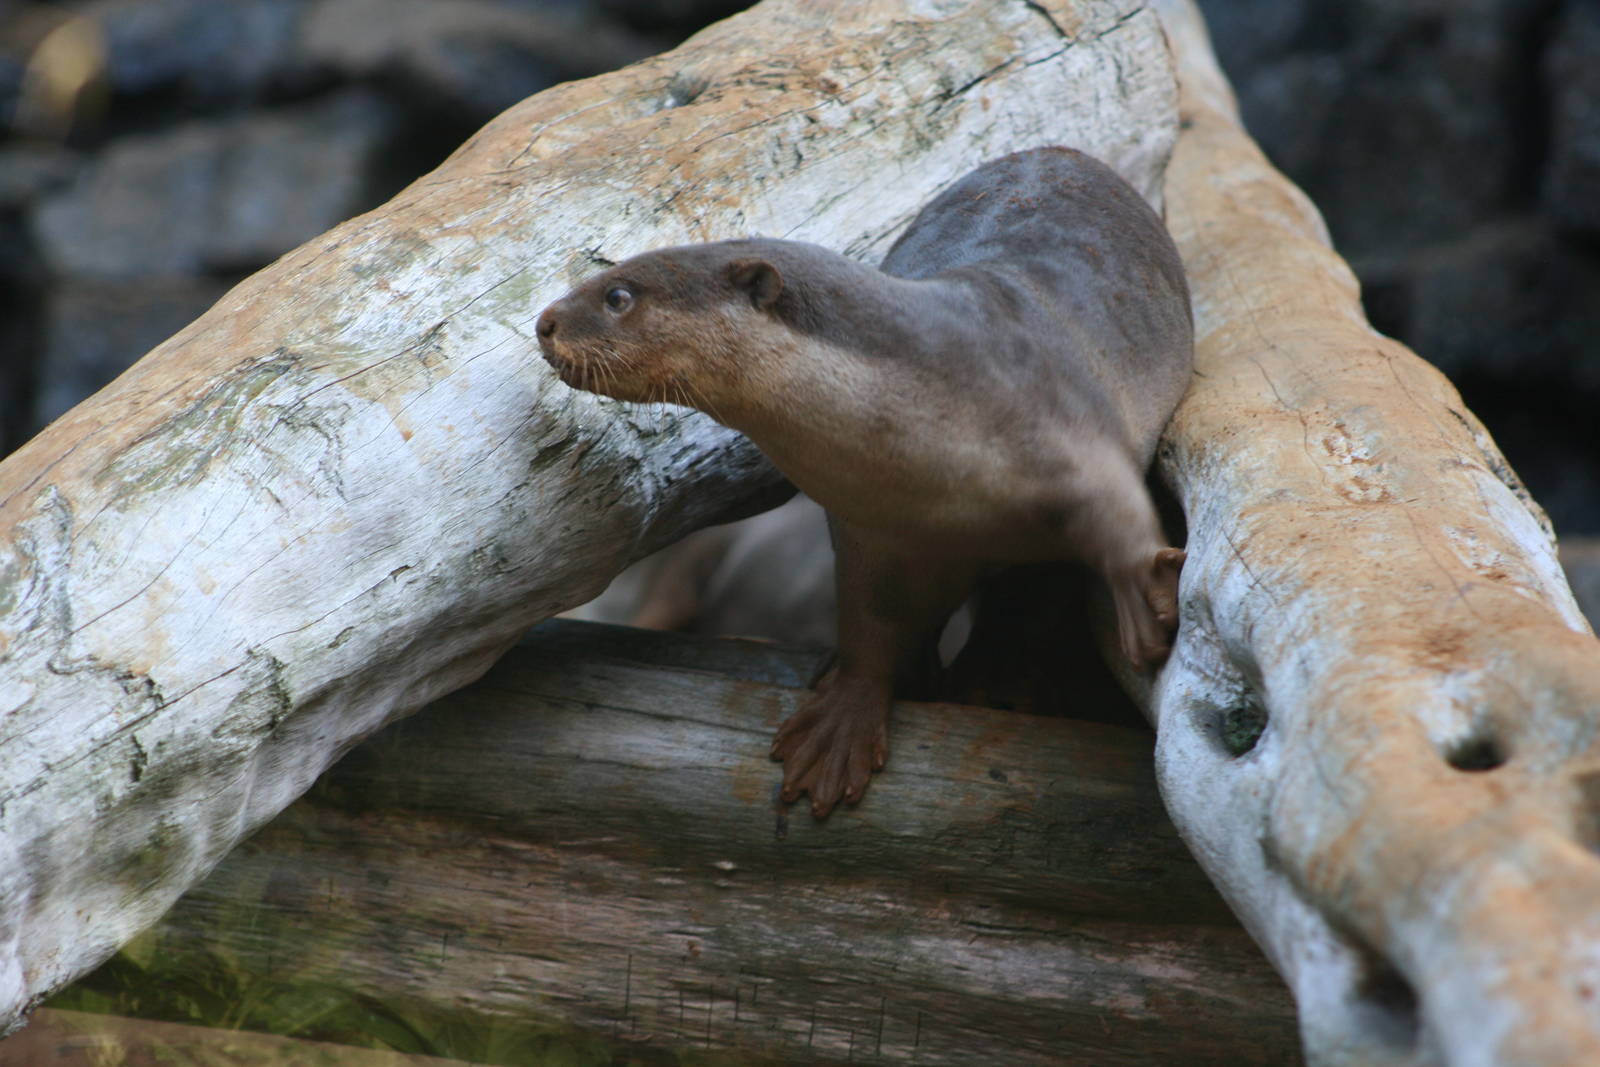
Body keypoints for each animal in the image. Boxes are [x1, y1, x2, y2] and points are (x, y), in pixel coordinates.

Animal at [536, 146, 1192, 818]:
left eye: (618, 294)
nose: (544, 322)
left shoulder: (1067, 422)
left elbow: (1117, 519)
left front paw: (1142, 607)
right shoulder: (869, 529)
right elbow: (870, 623)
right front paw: (840, 726)